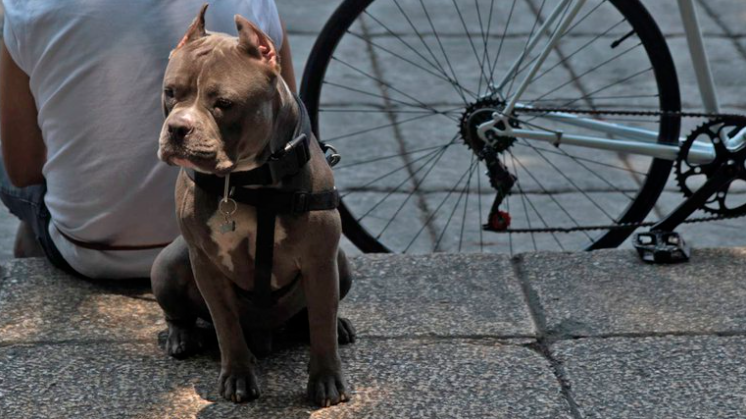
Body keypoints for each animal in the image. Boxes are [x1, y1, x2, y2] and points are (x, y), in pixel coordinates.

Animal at [151, 4, 354, 408]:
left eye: (223, 104)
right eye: (170, 92)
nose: (178, 128)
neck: (248, 180)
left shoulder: (320, 261)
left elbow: (321, 322)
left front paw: (325, 380)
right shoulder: (206, 265)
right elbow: (226, 324)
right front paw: (238, 377)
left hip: (341, 262)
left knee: (317, 315)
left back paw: (338, 326)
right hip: (169, 261)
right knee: (180, 313)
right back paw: (182, 337)